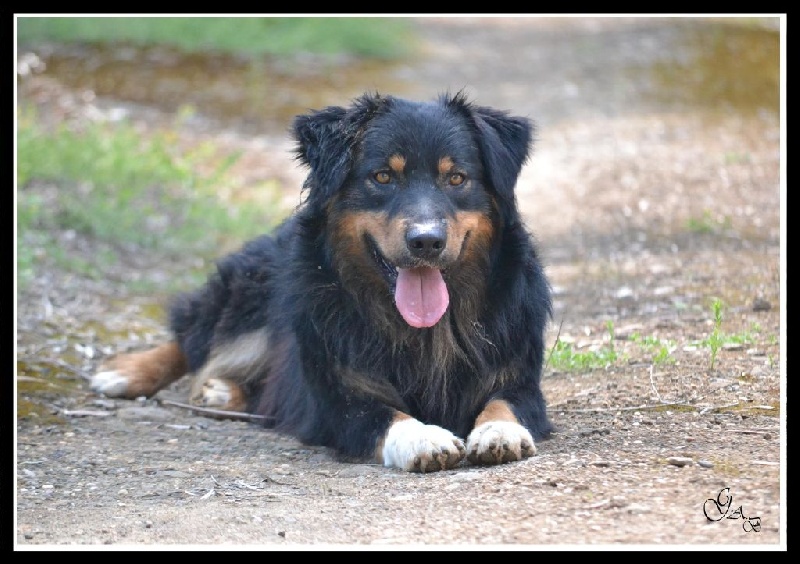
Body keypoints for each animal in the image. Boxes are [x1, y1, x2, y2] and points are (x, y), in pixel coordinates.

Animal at [90, 91, 552, 472]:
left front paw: (499, 432)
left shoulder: (520, 379)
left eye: (456, 178)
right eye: (383, 177)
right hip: (247, 289)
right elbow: (385, 415)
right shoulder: (337, 398)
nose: (426, 242)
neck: (423, 331)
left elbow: (504, 404)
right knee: (192, 336)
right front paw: (423, 437)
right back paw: (125, 373)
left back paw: (222, 392)